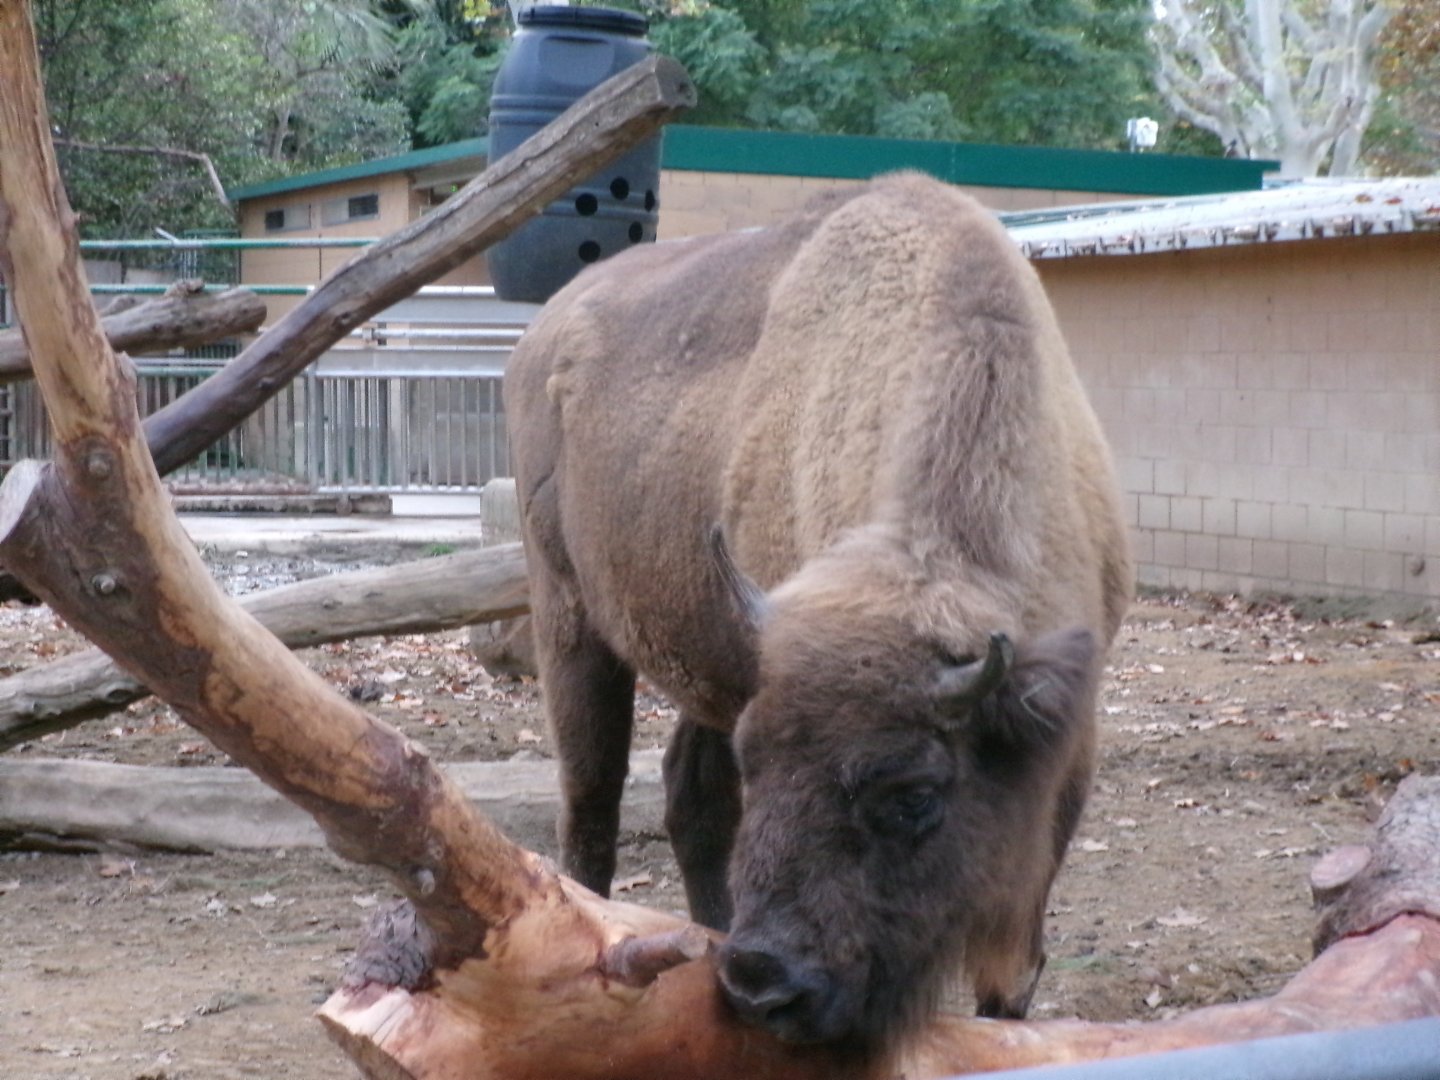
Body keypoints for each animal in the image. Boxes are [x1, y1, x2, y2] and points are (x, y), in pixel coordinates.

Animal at [505, 172, 1132, 1054]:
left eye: (914, 795)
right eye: (762, 766)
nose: (763, 982)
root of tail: (544, 332)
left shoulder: (1064, 751)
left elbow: (1012, 975)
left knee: (689, 797)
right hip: (568, 617)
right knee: (590, 803)